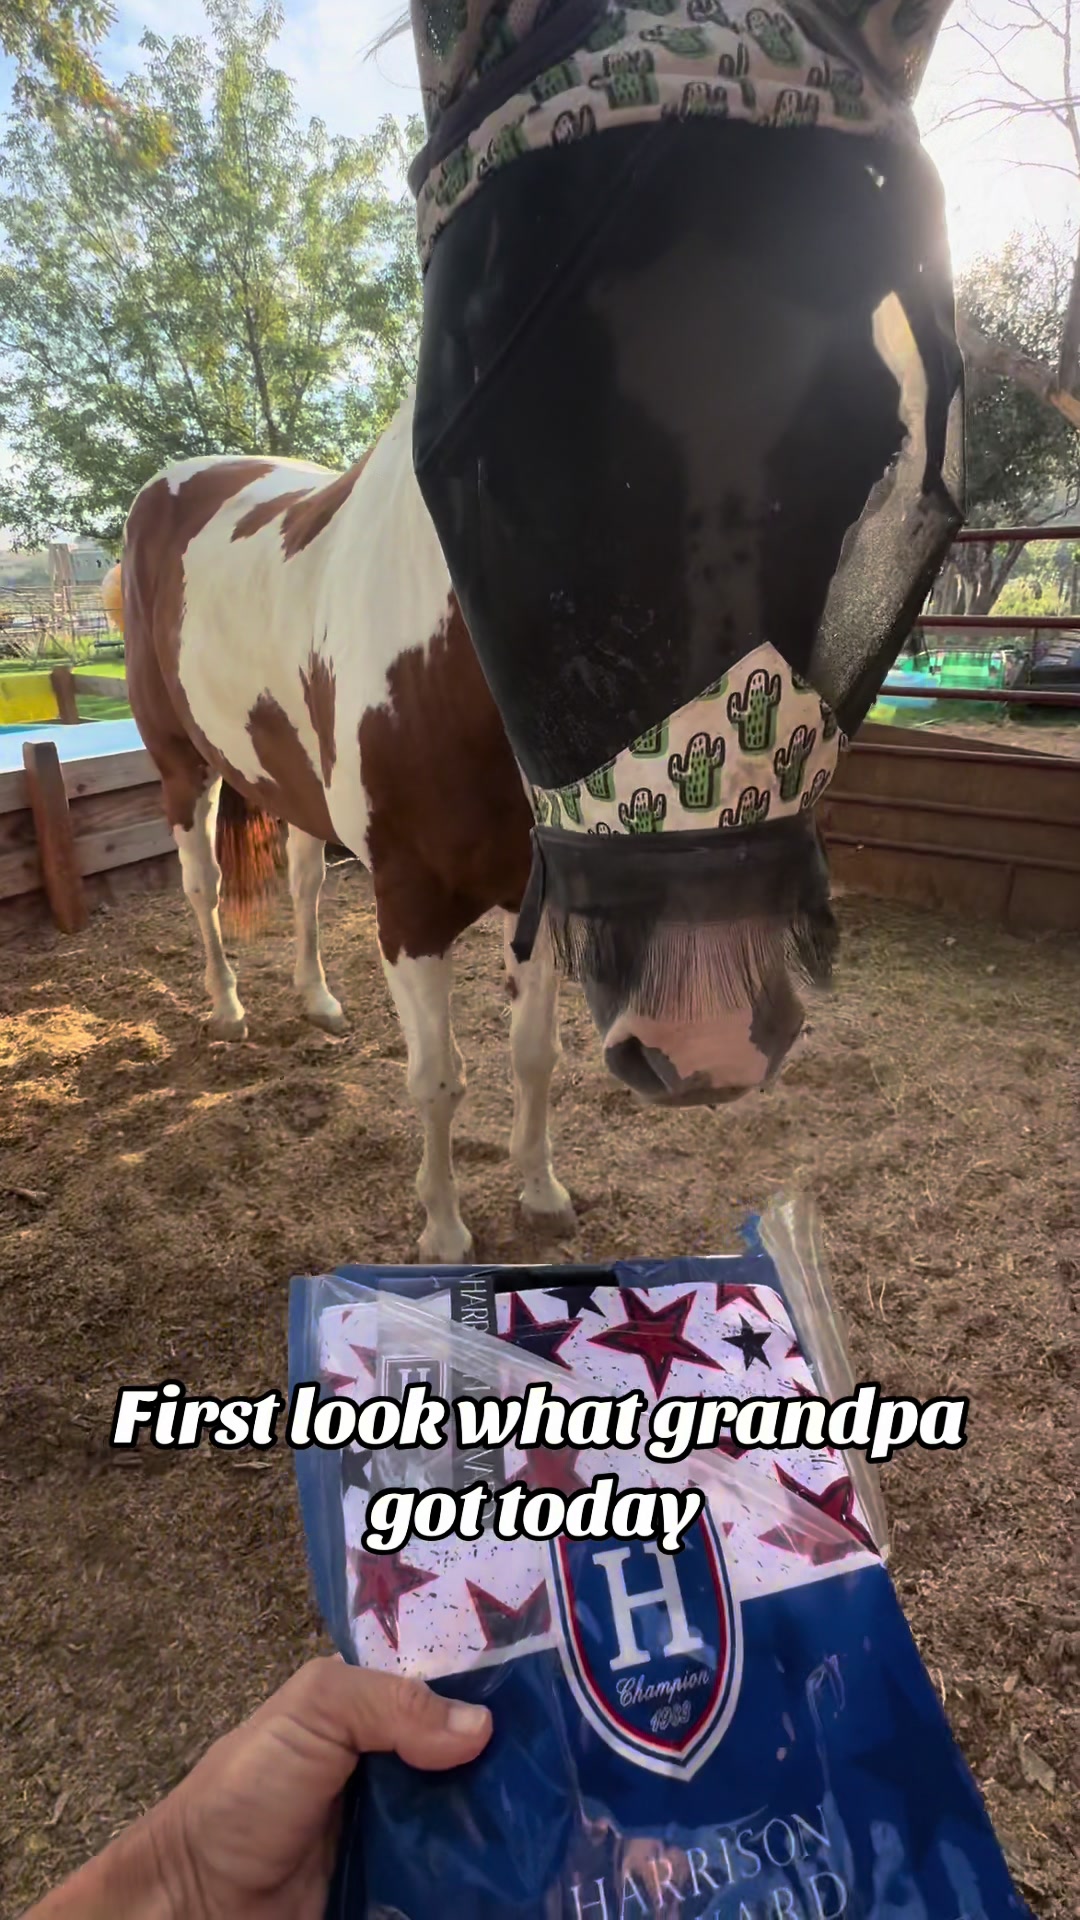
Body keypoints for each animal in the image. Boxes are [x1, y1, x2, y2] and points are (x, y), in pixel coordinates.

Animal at [115, 398, 575, 1264]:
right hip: (182, 765)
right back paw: (227, 1009)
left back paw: (317, 997)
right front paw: (443, 1230)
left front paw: (540, 1190)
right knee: (203, 889)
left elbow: (533, 1055)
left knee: (305, 886)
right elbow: (437, 1080)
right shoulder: (410, 913)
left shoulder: (535, 899)